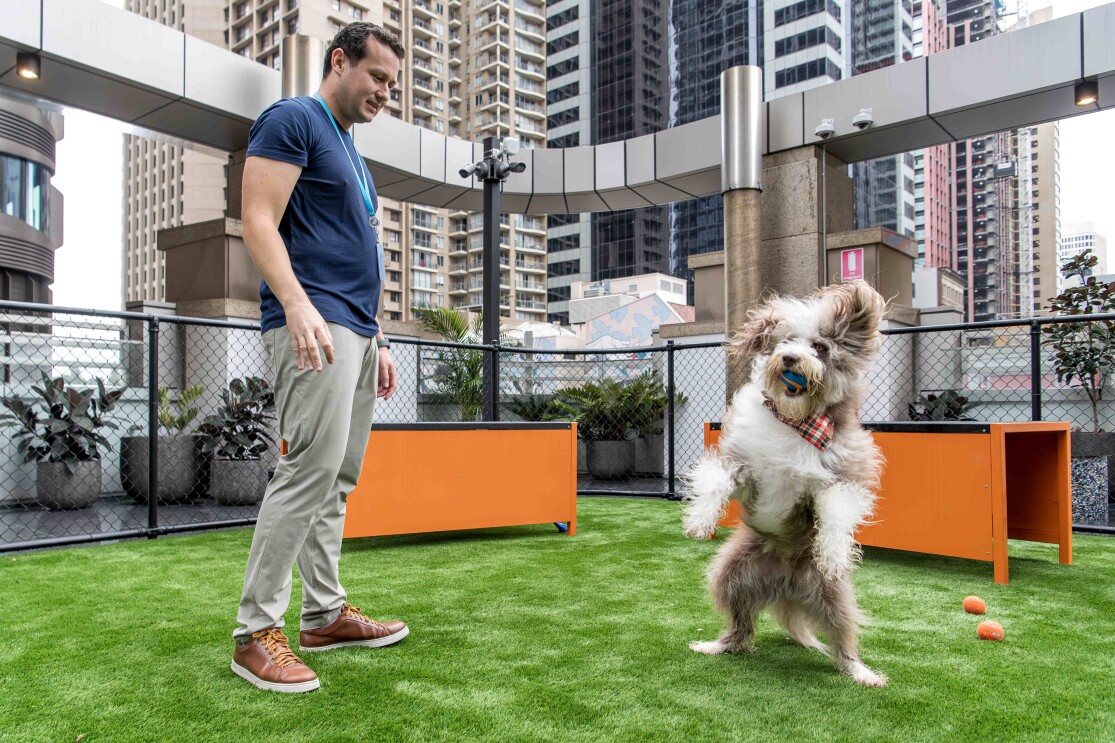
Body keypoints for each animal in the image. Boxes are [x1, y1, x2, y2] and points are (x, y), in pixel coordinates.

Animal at [677, 281, 887, 687]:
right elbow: (716, 483)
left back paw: (861, 673)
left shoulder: (842, 479)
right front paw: (700, 521)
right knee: (741, 628)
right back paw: (716, 646)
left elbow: (835, 515)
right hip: (732, 577)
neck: (795, 421)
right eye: (785, 341)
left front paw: (833, 554)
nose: (790, 359)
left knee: (843, 637)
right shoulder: (744, 469)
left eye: (819, 347)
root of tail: (787, 585)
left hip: (833, 596)